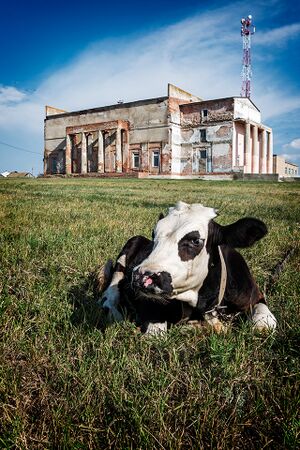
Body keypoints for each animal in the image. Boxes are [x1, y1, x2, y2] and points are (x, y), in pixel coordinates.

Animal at [98, 201, 276, 334]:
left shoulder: (254, 295)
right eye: (154, 234)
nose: (142, 276)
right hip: (131, 244)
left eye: (195, 241)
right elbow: (155, 333)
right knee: (113, 287)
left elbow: (265, 325)